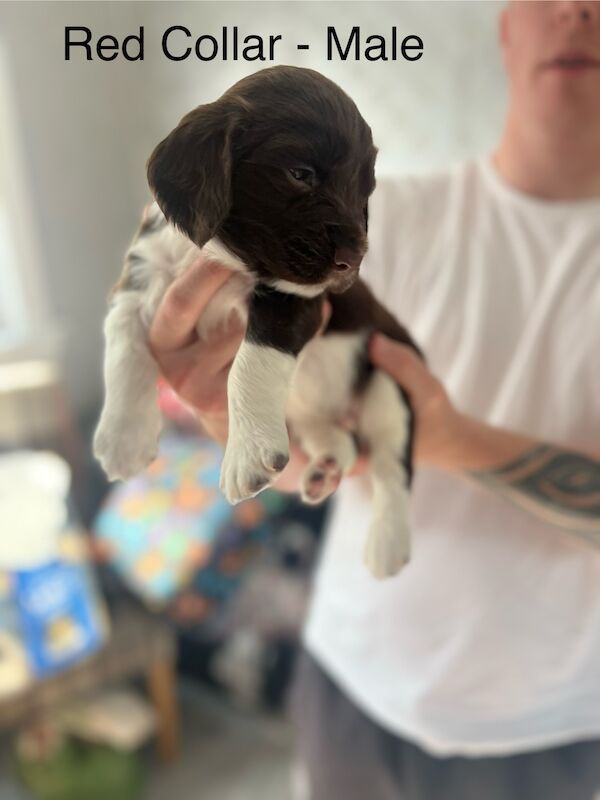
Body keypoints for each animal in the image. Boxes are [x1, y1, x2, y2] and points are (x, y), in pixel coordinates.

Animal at [94, 65, 422, 580]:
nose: (354, 260)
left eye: (364, 190)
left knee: (393, 468)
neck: (217, 254)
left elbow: (249, 367)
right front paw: (123, 435)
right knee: (341, 439)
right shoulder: (138, 278)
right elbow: (123, 344)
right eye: (300, 174)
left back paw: (387, 542)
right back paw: (325, 466)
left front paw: (245, 454)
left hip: (390, 381)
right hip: (310, 412)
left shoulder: (296, 301)